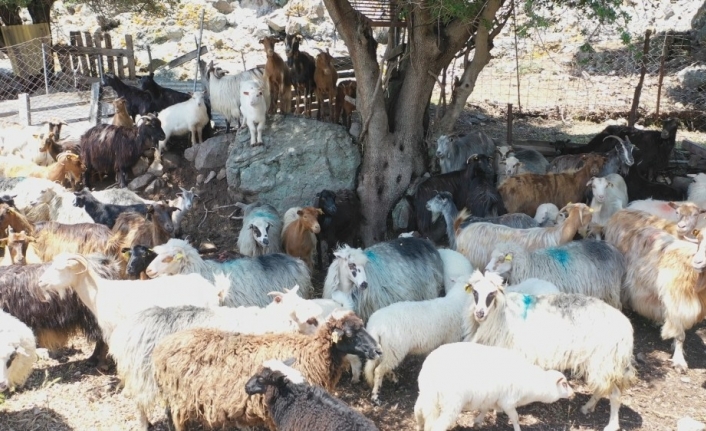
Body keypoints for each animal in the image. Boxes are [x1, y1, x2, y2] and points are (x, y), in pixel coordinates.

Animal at [412, 340, 572, 431]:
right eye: (564, 384)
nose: (573, 393)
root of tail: (430, 369)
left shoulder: (491, 397)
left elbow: (485, 409)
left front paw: (478, 421)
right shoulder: (508, 402)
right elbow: (515, 418)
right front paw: (518, 429)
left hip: (426, 396)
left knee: (418, 412)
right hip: (451, 403)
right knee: (438, 426)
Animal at [462, 272, 632, 431]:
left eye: (492, 293)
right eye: (475, 292)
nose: (479, 313)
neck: (501, 315)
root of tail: (626, 327)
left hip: (605, 360)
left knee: (615, 394)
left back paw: (611, 425)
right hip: (597, 363)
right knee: (601, 388)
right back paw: (587, 407)